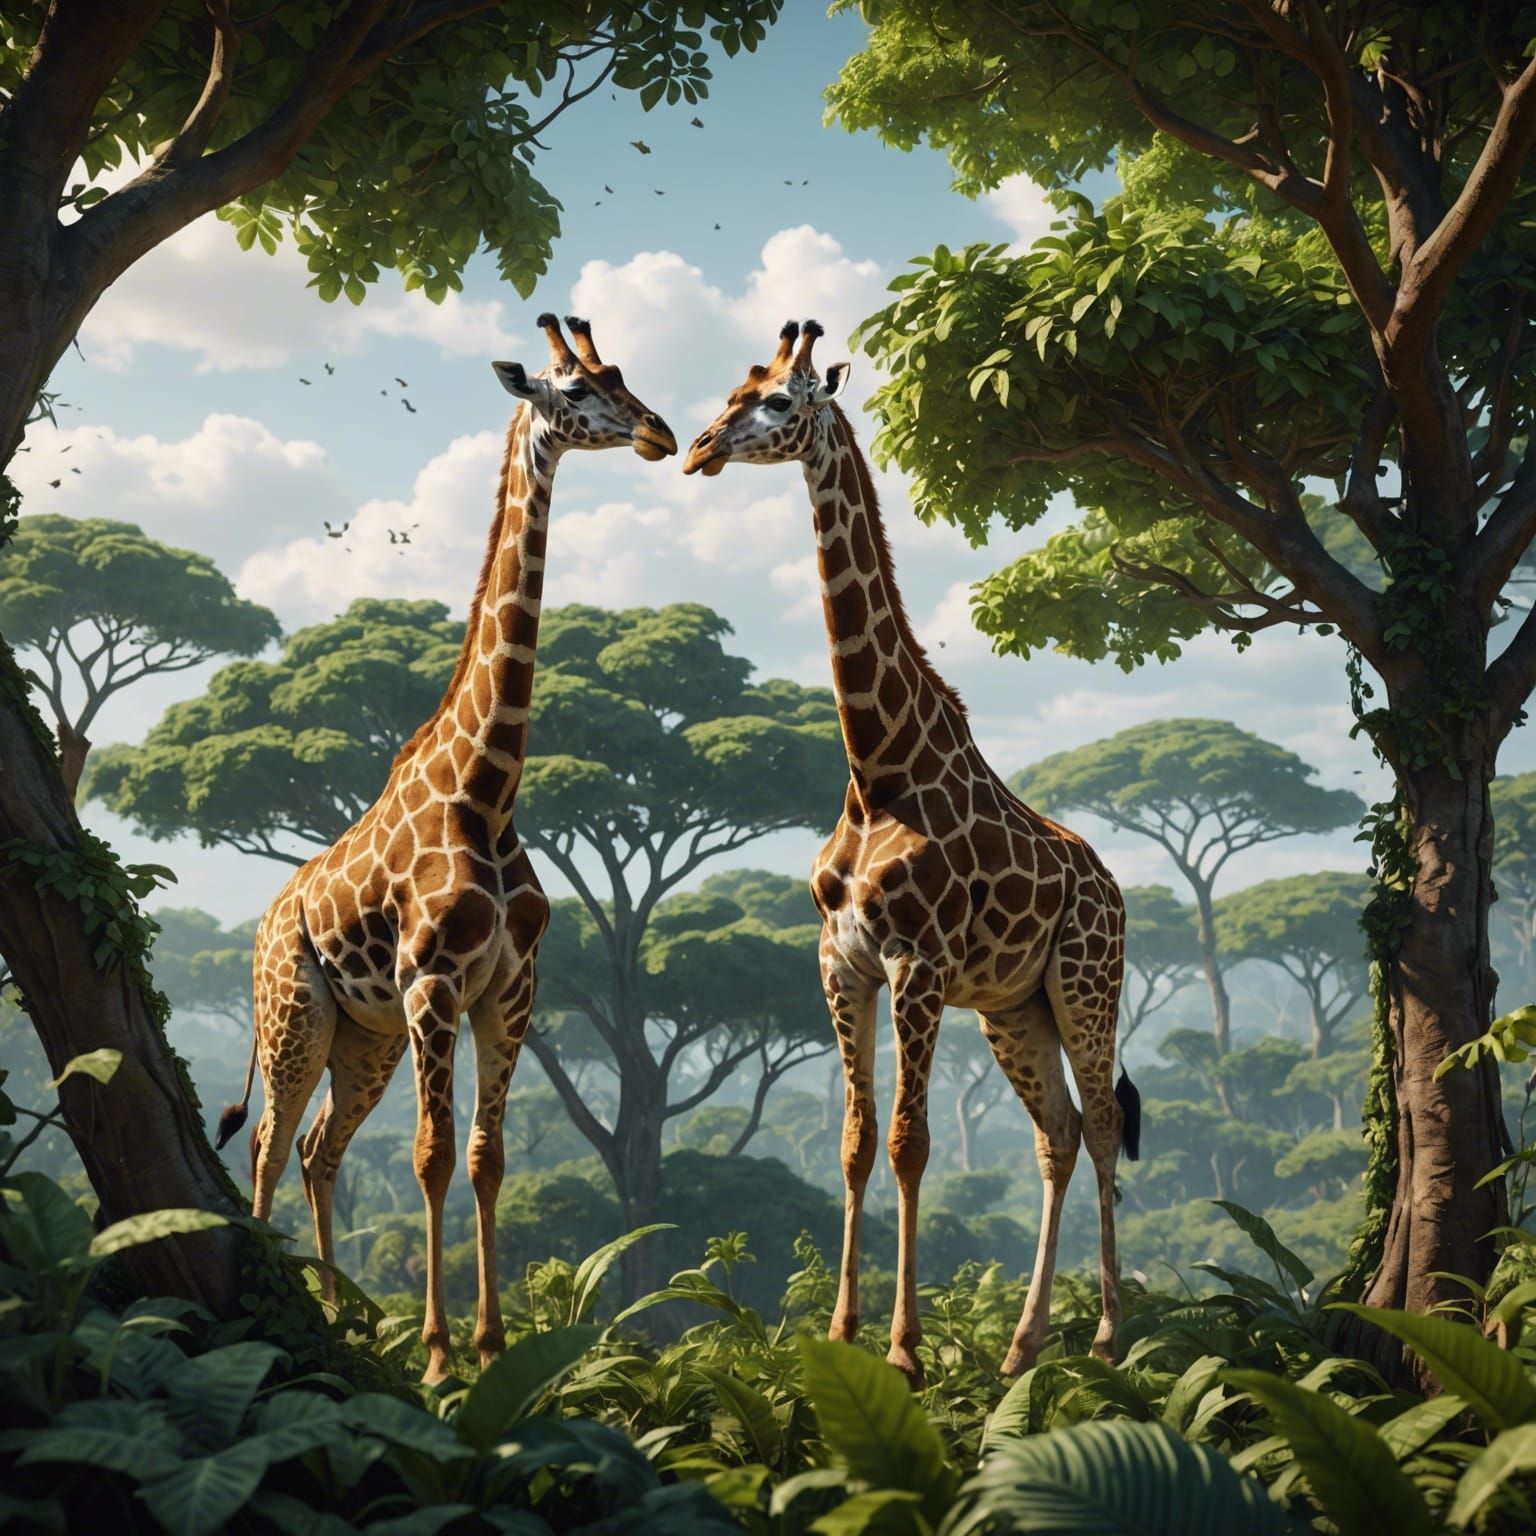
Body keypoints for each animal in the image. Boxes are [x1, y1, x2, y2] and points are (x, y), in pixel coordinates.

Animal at [217, 314, 677, 1383]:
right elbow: (429, 1157)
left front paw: (492, 1342)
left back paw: (342, 1314)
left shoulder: (510, 990)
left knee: (320, 1151)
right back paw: (291, 1304)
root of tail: (264, 921)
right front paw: (434, 1355)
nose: (661, 434)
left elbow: (484, 1156)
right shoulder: (433, 983)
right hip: (296, 1011)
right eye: (574, 391)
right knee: (268, 1145)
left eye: (623, 376)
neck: (487, 792)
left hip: (368, 1035)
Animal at [683, 319, 1139, 1387]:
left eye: (779, 402)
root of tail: (1112, 890)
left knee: (1102, 1124)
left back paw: (1104, 1335)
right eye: (730, 392)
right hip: (1014, 1008)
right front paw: (843, 1333)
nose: (698, 449)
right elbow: (854, 1143)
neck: (877, 764)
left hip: (1084, 982)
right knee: (1057, 1136)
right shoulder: (840, 960)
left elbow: (910, 1143)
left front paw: (904, 1347)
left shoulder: (916, 960)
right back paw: (1022, 1345)